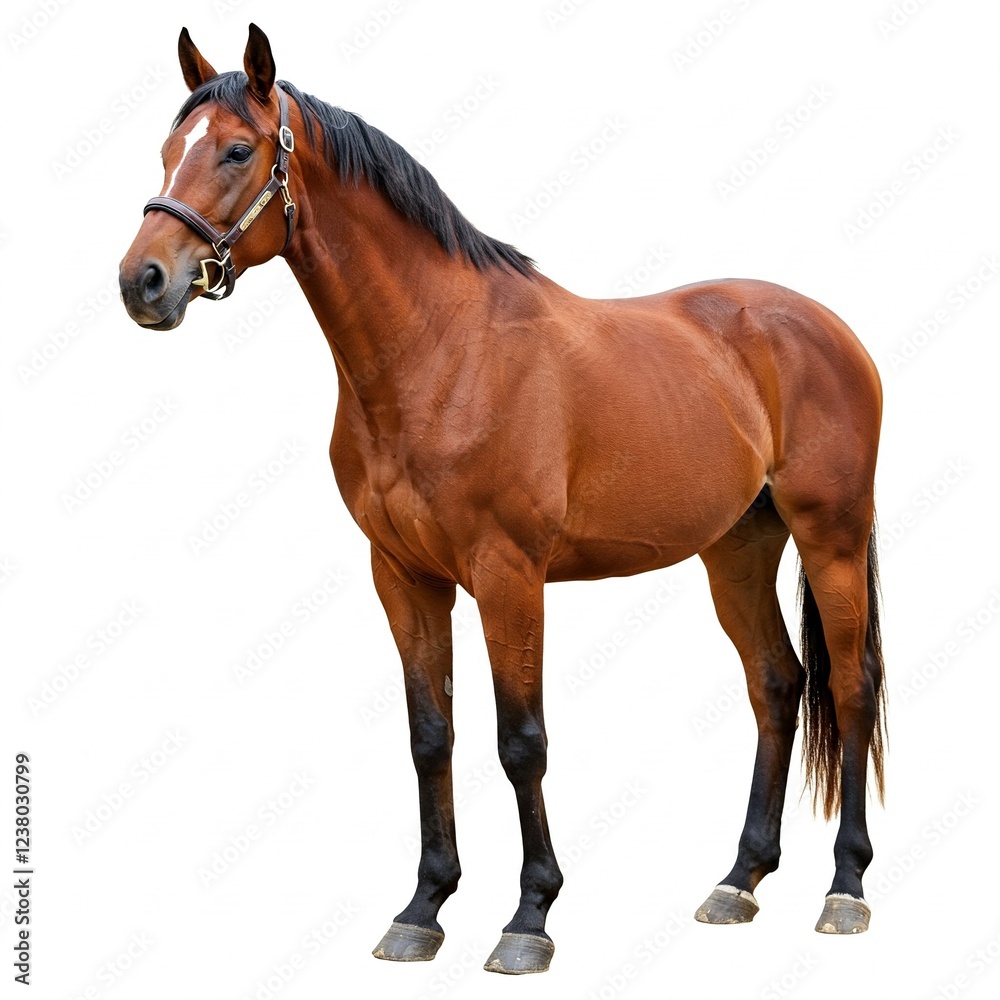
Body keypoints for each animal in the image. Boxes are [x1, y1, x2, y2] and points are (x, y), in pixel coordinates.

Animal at [119, 24, 887, 975]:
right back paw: (738, 880)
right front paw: (423, 907)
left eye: (234, 150)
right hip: (737, 549)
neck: (442, 352)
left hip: (832, 539)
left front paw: (529, 918)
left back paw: (845, 889)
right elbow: (430, 737)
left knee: (849, 688)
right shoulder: (403, 576)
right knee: (776, 684)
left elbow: (521, 743)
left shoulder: (508, 576)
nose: (143, 282)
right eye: (167, 151)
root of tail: (826, 328)